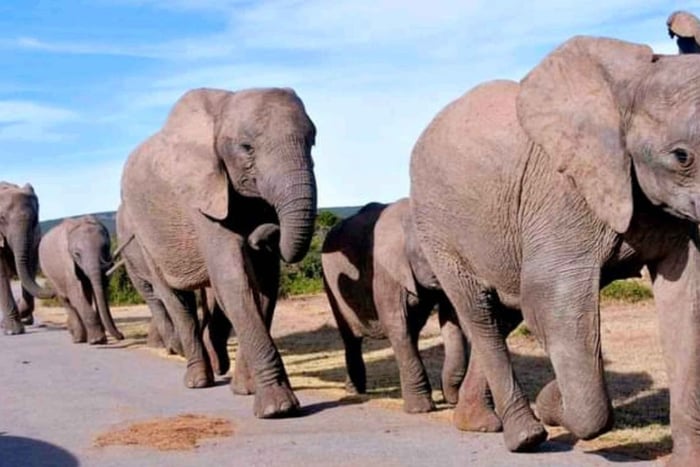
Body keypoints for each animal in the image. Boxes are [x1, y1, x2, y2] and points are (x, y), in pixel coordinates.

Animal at [0, 182, 54, 335]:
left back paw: (27, 320)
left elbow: (30, 266)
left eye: (35, 220)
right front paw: (12, 331)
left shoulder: (34, 236)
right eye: (2, 218)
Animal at [39, 216, 124, 344]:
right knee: (66, 300)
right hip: (48, 272)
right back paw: (78, 339)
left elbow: (99, 290)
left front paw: (99, 338)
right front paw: (97, 340)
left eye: (105, 248)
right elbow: (76, 294)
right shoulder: (67, 261)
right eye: (77, 254)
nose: (122, 336)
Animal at [120, 87, 317, 418]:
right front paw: (278, 409)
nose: (263, 233)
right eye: (247, 148)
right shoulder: (201, 197)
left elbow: (263, 285)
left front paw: (245, 391)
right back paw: (198, 380)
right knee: (176, 300)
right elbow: (233, 280)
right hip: (143, 234)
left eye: (312, 142)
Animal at [322, 198, 514, 425]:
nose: (453, 399)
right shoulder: (384, 270)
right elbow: (396, 324)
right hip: (330, 283)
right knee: (351, 337)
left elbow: (449, 318)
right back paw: (355, 391)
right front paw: (420, 409)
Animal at [410, 35, 700, 464]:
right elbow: (550, 299)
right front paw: (553, 402)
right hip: (438, 228)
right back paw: (526, 437)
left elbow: (685, 302)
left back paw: (475, 423)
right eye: (682, 157)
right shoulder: (563, 193)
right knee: (479, 312)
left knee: (504, 313)